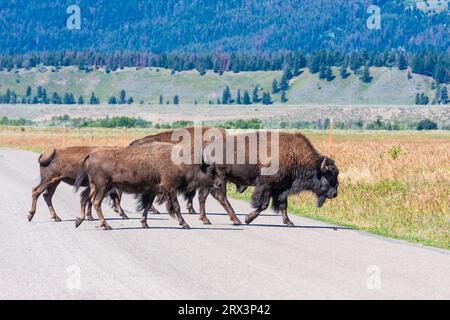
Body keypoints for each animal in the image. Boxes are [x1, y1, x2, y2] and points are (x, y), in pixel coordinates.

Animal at [74, 142, 225, 230]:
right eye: (211, 170)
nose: (219, 183)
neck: (178, 163)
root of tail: (91, 154)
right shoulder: (171, 189)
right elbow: (176, 207)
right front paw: (185, 224)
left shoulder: (153, 191)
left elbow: (147, 207)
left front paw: (144, 224)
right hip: (102, 187)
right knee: (95, 202)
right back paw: (105, 225)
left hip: (95, 187)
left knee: (84, 197)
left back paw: (78, 221)